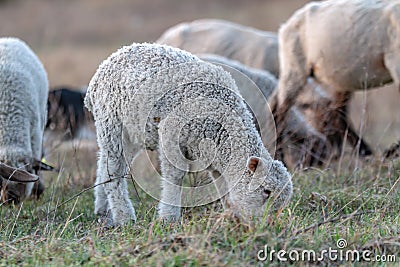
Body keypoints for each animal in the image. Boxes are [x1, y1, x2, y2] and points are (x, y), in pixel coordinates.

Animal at [84, 42, 292, 226]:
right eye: (266, 191)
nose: (268, 223)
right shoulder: (172, 134)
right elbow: (175, 177)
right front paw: (168, 218)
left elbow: (222, 184)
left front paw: (232, 215)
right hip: (111, 122)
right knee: (114, 171)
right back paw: (123, 216)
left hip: (131, 132)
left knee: (105, 164)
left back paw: (103, 211)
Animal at [274, 0, 400, 156]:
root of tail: (285, 26)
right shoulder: (396, 64)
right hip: (294, 68)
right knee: (280, 111)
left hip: (343, 77)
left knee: (337, 114)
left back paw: (368, 153)